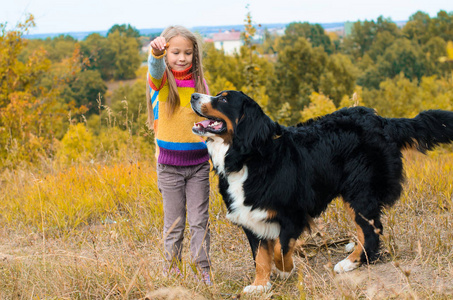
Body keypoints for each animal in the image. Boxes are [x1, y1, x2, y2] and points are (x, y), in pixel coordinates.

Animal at [188, 89, 452, 292]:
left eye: (223, 99)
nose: (193, 95)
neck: (247, 158)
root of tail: (382, 121)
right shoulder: (250, 216)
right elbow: (261, 257)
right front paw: (260, 285)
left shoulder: (292, 215)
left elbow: (280, 250)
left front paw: (287, 270)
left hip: (360, 190)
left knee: (371, 229)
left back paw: (351, 262)